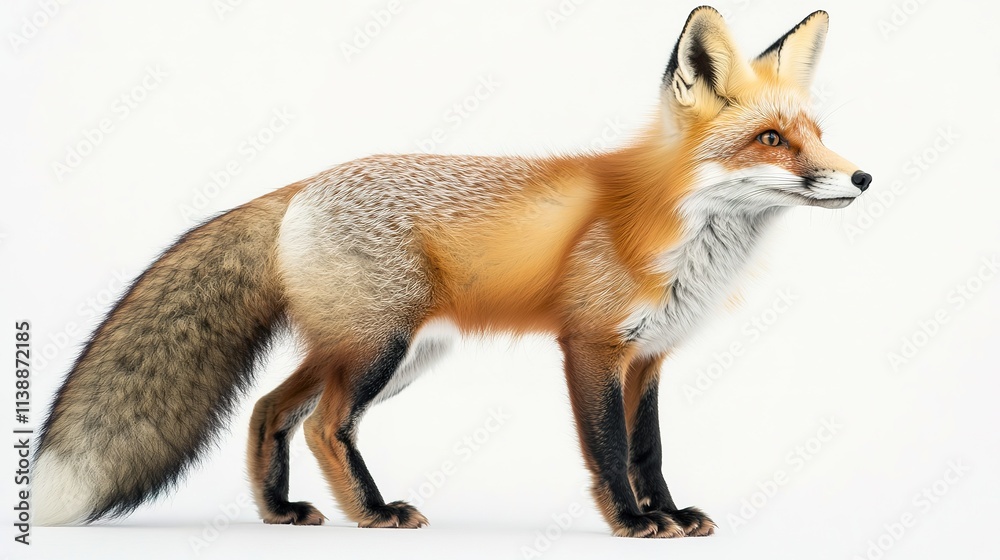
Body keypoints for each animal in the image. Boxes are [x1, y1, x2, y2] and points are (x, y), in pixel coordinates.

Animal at [33, 7, 870, 538]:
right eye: (770, 139)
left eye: (818, 134)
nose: (862, 178)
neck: (676, 231)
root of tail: (301, 185)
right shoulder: (591, 345)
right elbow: (609, 452)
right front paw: (634, 521)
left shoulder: (650, 356)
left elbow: (650, 451)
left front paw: (669, 511)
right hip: (380, 350)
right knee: (327, 427)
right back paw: (373, 515)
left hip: (371, 352)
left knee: (270, 409)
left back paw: (281, 515)